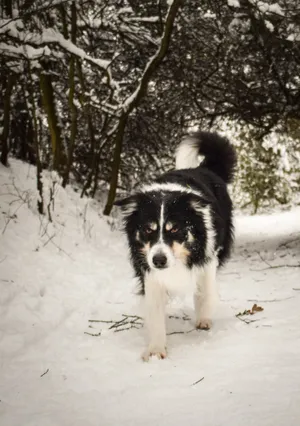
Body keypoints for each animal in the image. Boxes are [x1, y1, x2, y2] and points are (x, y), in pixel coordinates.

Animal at [115, 131, 237, 362]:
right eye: (148, 229)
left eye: (174, 229)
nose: (159, 260)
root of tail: (203, 168)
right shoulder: (150, 272)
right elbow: (155, 312)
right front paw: (155, 349)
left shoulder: (206, 259)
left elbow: (205, 292)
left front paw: (203, 318)